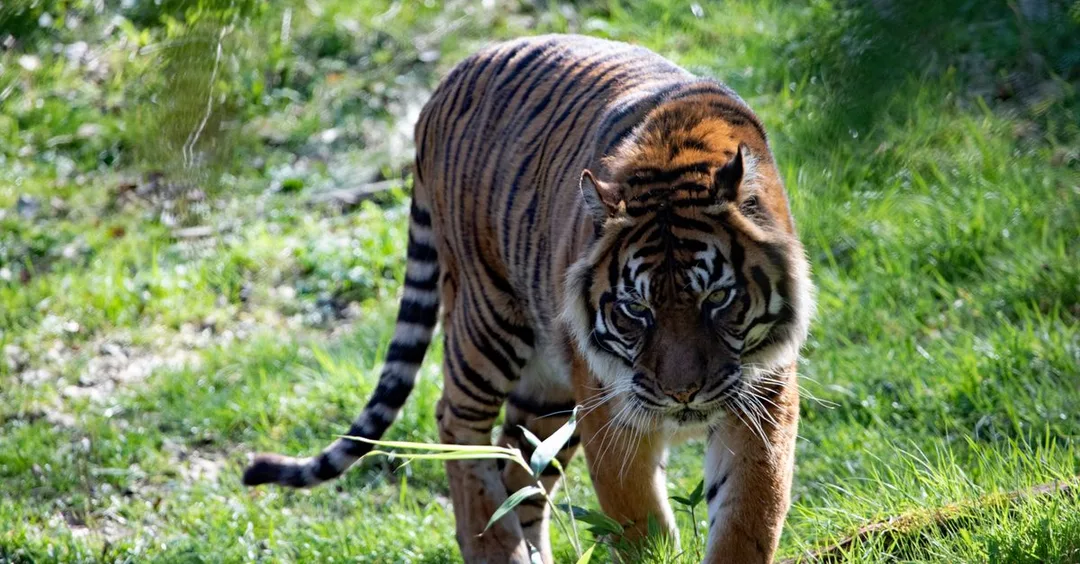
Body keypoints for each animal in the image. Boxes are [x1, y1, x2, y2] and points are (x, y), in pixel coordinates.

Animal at [243, 34, 813, 564]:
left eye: (717, 297)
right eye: (637, 310)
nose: (683, 395)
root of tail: (447, 80)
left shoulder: (763, 395)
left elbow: (747, 519)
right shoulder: (611, 412)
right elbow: (639, 524)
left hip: (550, 387)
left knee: (518, 459)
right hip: (487, 321)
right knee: (456, 419)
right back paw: (495, 547)